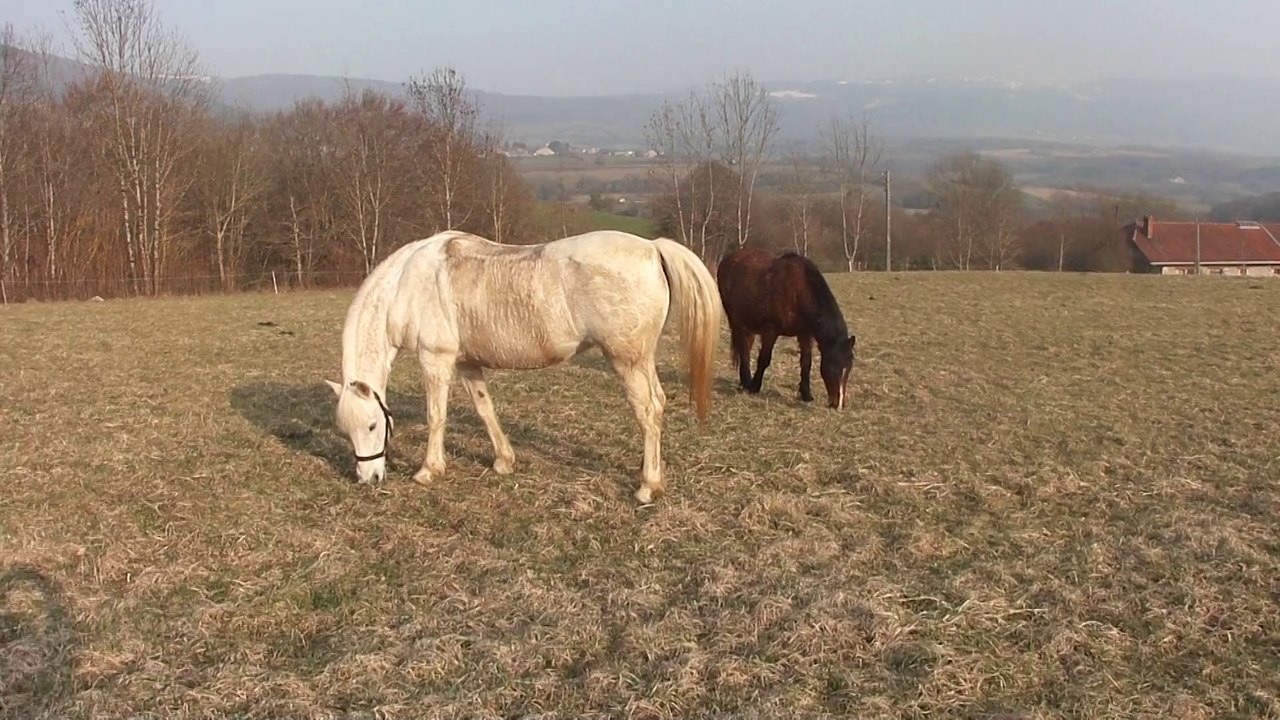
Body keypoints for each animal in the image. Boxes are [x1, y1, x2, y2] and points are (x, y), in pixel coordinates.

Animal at [325, 229, 722, 504]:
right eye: (345, 431)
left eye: (373, 425)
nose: (368, 478)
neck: (406, 286)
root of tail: (652, 248)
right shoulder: (467, 363)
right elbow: (485, 410)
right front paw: (504, 461)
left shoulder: (435, 358)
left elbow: (436, 416)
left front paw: (428, 470)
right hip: (641, 361)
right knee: (658, 404)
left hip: (628, 361)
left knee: (648, 411)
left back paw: (647, 487)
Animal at [716, 247, 857, 409]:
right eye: (833, 367)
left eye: (849, 368)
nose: (837, 404)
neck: (798, 292)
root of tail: (729, 258)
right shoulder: (770, 331)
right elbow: (764, 359)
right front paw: (754, 388)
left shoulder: (805, 334)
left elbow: (806, 363)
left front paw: (806, 394)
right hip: (736, 321)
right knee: (743, 350)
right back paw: (746, 383)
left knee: (746, 347)